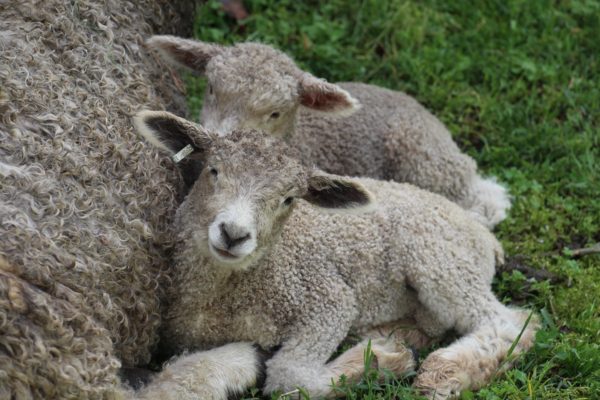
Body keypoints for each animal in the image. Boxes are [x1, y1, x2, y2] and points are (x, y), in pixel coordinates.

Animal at [132, 110, 540, 400]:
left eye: (289, 199)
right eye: (213, 170)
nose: (233, 234)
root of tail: (485, 237)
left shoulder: (327, 299)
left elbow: (289, 377)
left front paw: (380, 362)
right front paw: (383, 357)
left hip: (441, 260)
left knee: (510, 322)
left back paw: (444, 372)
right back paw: (392, 340)